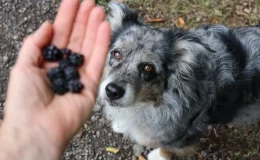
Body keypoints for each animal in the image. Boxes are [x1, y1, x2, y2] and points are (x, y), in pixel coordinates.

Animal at [97, 1, 260, 160]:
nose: (112, 91)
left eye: (148, 68)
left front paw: (158, 156)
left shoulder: (183, 137)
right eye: (116, 54)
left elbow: (168, 149)